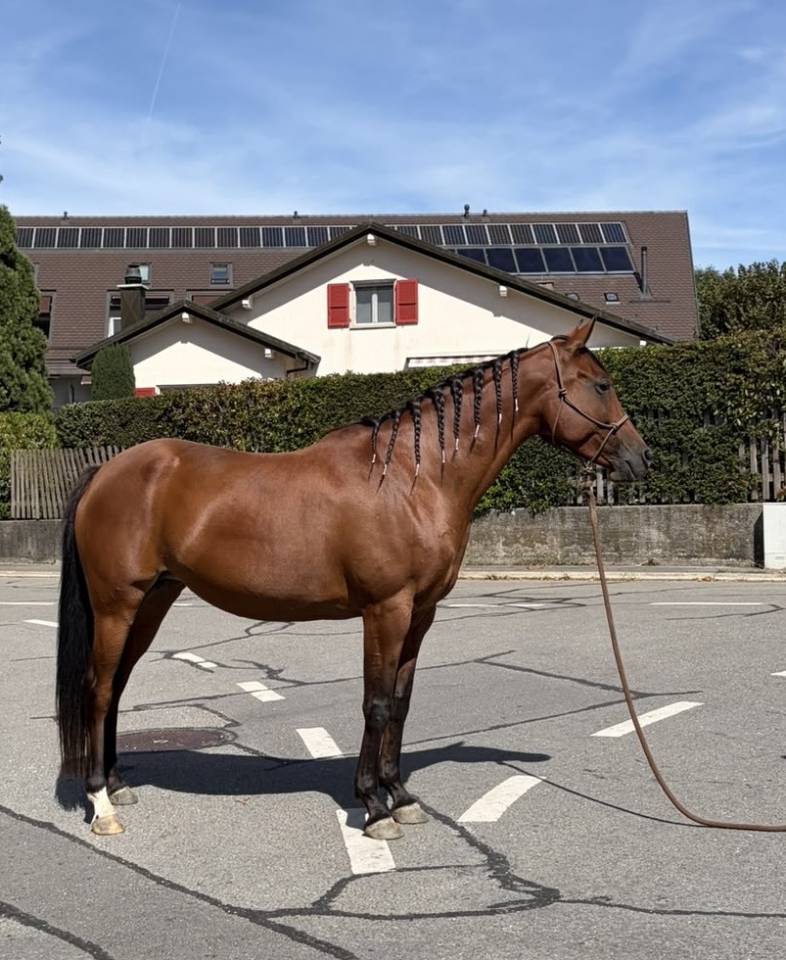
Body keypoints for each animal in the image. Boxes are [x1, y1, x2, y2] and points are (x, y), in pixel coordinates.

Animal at [55, 318, 651, 838]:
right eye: (601, 384)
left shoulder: (421, 613)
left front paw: (401, 796)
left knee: (117, 685)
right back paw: (101, 804)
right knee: (97, 688)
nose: (640, 458)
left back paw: (117, 784)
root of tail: (105, 471)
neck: (413, 479)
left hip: (153, 600)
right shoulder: (386, 609)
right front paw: (373, 806)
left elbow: (401, 702)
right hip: (117, 605)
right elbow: (377, 703)